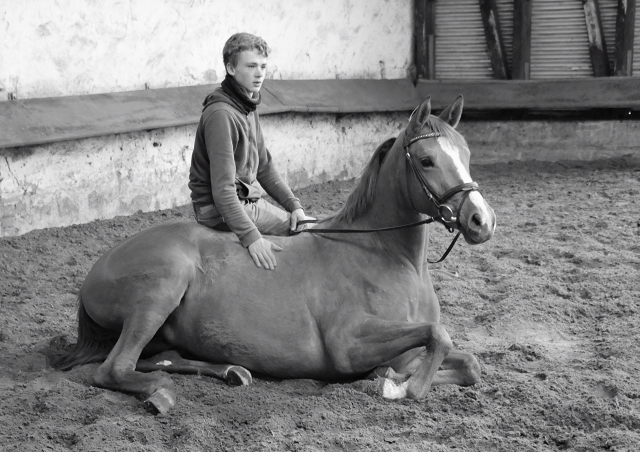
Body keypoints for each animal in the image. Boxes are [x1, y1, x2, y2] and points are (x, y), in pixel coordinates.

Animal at [48, 96, 496, 414]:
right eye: (427, 160)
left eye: (466, 154)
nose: (481, 220)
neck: (384, 256)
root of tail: (97, 270)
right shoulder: (349, 343)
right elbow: (434, 340)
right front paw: (395, 387)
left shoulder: (409, 351)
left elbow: (468, 363)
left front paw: (396, 377)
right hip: (160, 291)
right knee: (116, 368)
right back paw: (162, 394)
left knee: (161, 358)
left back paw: (231, 371)